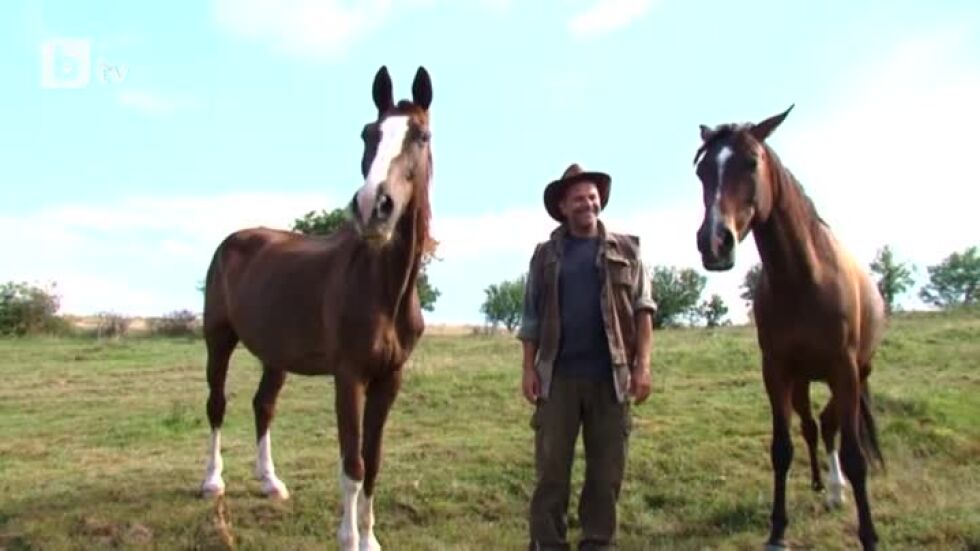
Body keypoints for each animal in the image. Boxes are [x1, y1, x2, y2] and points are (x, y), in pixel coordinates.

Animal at [199, 66, 436, 551]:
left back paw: (270, 482)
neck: (384, 287)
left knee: (263, 405)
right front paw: (349, 537)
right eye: (367, 133)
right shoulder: (349, 377)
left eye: (421, 135)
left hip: (275, 354)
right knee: (217, 403)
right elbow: (352, 464)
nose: (373, 207)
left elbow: (373, 461)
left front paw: (370, 537)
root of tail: (234, 240)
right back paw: (213, 481)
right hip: (218, 338)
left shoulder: (389, 379)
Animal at [688, 105, 888, 548]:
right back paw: (822, 485)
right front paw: (777, 531)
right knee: (815, 426)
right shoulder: (776, 370)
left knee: (832, 425)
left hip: (853, 373)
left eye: (751, 162)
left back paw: (836, 490)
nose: (714, 242)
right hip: (802, 381)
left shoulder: (844, 370)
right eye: (703, 171)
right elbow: (782, 448)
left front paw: (868, 534)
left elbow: (855, 456)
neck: (804, 277)